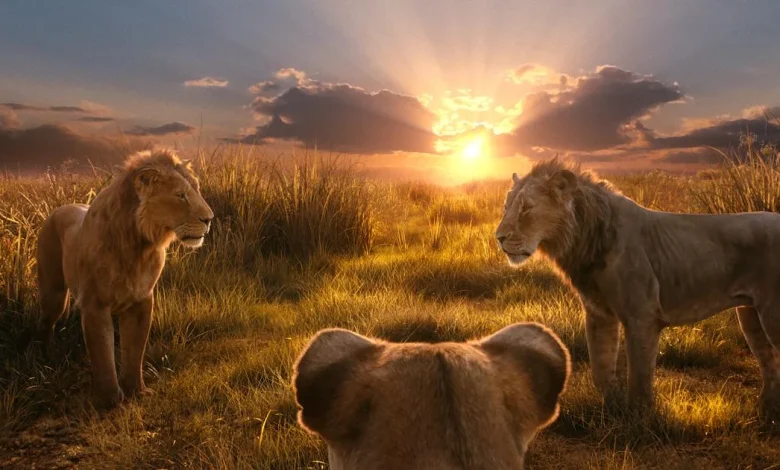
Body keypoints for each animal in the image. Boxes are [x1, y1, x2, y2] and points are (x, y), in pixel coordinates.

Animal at [35, 148, 214, 409]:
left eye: (197, 190)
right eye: (181, 195)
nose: (209, 219)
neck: (138, 246)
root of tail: (59, 208)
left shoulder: (141, 301)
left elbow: (134, 350)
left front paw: (136, 391)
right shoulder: (95, 305)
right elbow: (103, 355)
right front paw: (110, 400)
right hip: (53, 293)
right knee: (45, 323)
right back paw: (46, 359)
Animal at [495, 156, 780, 417]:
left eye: (526, 208)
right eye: (506, 207)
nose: (498, 237)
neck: (585, 239)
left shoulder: (642, 316)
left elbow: (640, 377)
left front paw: (639, 420)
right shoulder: (598, 314)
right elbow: (601, 367)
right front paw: (611, 409)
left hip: (770, 314)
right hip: (750, 315)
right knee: (770, 364)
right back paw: (765, 413)